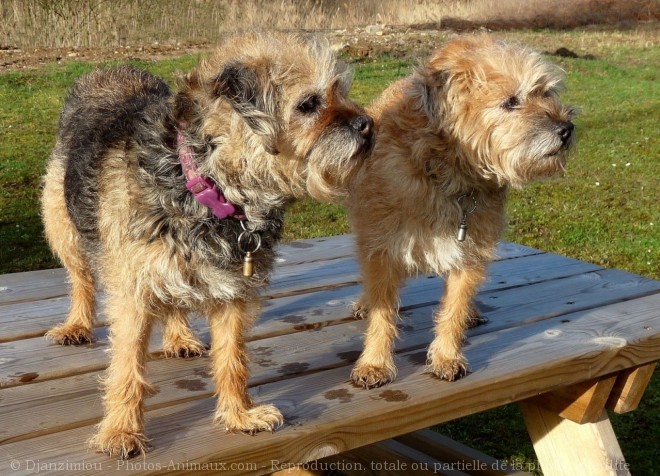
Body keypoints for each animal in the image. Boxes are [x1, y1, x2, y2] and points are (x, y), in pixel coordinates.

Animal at [42, 31, 372, 460]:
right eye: (309, 104)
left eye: (339, 92)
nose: (368, 124)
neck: (208, 184)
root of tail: (108, 69)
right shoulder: (132, 292)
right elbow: (126, 366)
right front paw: (120, 430)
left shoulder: (234, 292)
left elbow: (232, 358)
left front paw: (239, 415)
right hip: (62, 225)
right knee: (81, 279)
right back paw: (78, 324)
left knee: (173, 301)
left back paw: (179, 336)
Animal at [348, 34, 576, 390]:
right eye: (511, 101)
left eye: (546, 92)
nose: (567, 128)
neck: (448, 175)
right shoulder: (383, 248)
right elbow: (382, 313)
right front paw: (375, 362)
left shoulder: (471, 253)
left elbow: (454, 309)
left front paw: (446, 355)